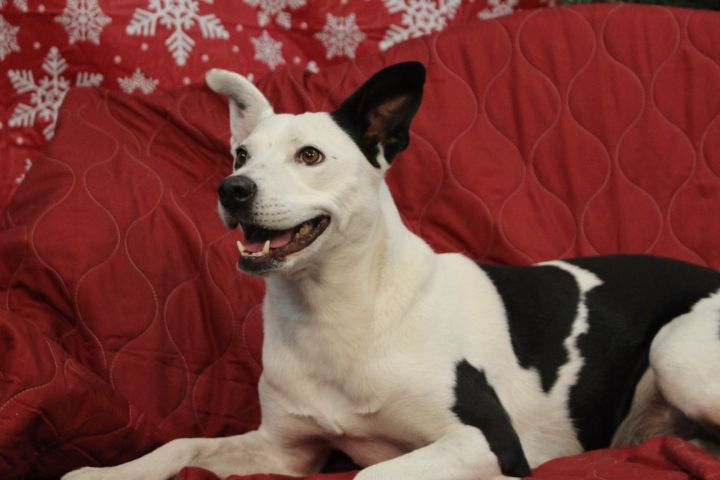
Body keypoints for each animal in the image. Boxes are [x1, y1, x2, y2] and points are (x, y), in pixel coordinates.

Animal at [63, 62, 720, 480]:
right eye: (240, 155)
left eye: (310, 155)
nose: (233, 189)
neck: (335, 313)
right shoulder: (282, 454)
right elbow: (181, 443)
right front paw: (106, 473)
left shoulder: (485, 441)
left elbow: (371, 476)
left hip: (676, 351)